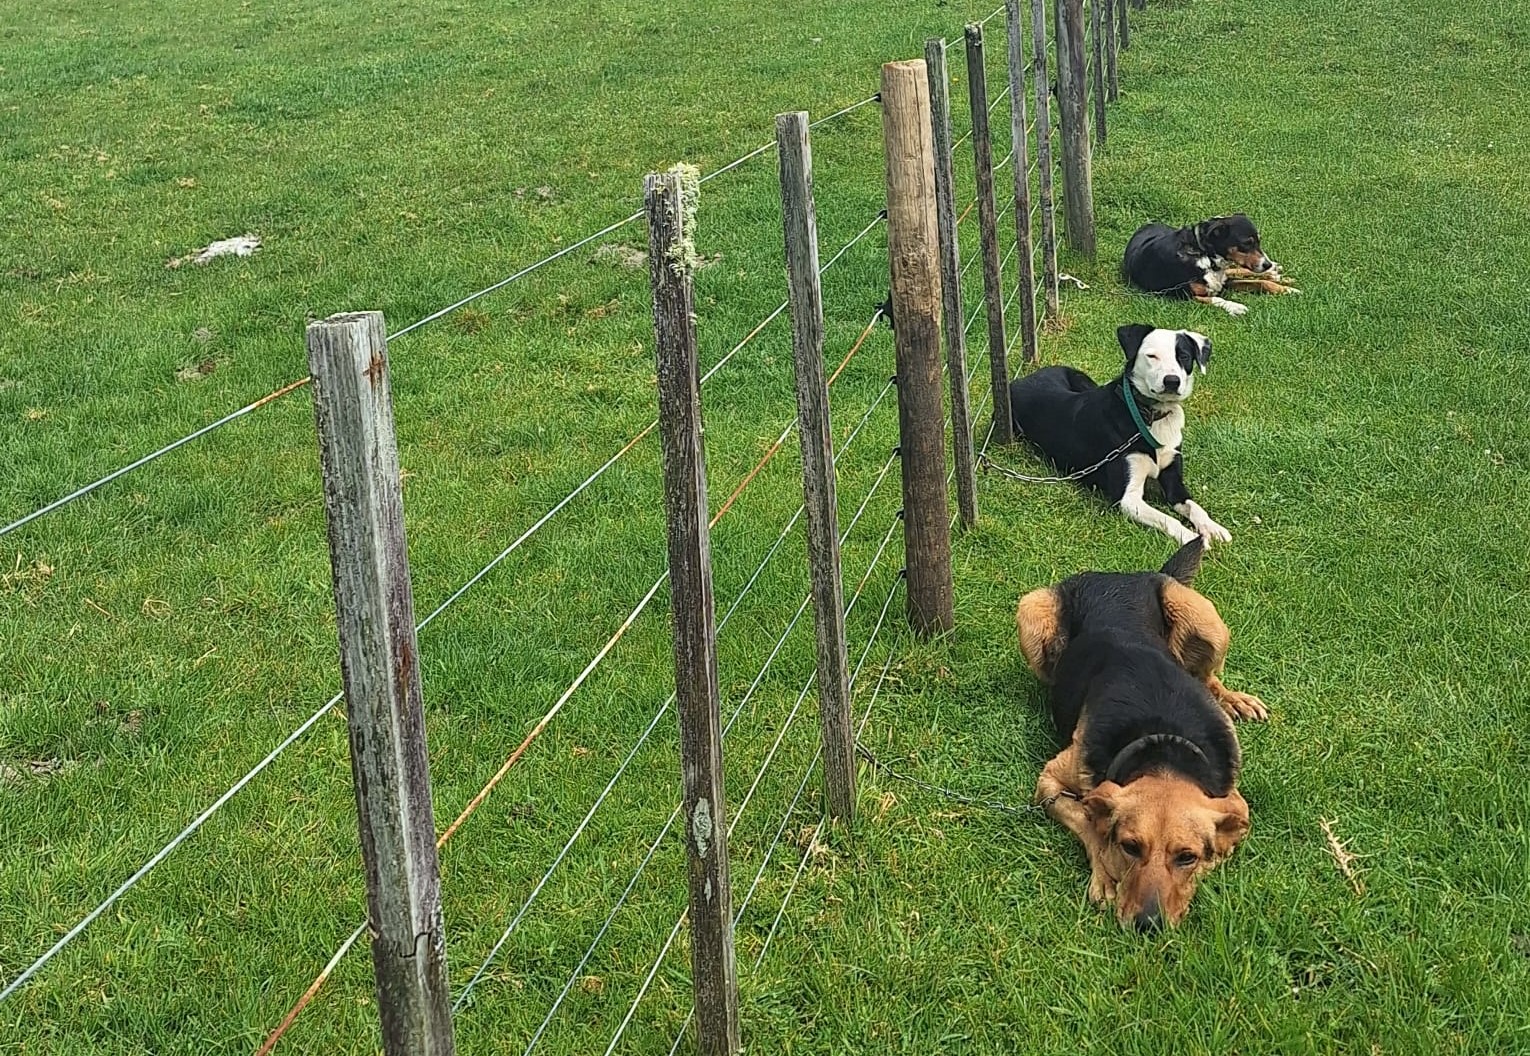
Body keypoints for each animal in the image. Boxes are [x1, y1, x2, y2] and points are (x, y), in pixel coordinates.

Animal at [1008, 324, 1230, 546]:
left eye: (1183, 356)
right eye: (1152, 356)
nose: (1172, 381)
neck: (1150, 416)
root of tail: (1024, 378)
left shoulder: (1174, 479)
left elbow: (1194, 506)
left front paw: (1213, 528)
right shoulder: (1127, 498)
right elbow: (1168, 519)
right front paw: (1193, 538)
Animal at [1015, 538, 1267, 929]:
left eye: (1187, 857)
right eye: (1131, 847)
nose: (1148, 925)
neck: (1162, 743)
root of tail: (1118, 575)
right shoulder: (1050, 783)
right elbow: (1089, 821)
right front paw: (1105, 874)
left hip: (1206, 621)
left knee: (1208, 675)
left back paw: (1234, 700)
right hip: (1031, 612)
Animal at [1123, 214, 1300, 316]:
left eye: (1258, 241)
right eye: (1246, 243)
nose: (1266, 264)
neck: (1206, 256)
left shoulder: (1225, 281)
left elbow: (1260, 283)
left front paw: (1286, 290)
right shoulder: (1187, 296)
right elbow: (1216, 299)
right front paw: (1235, 306)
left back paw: (1275, 273)